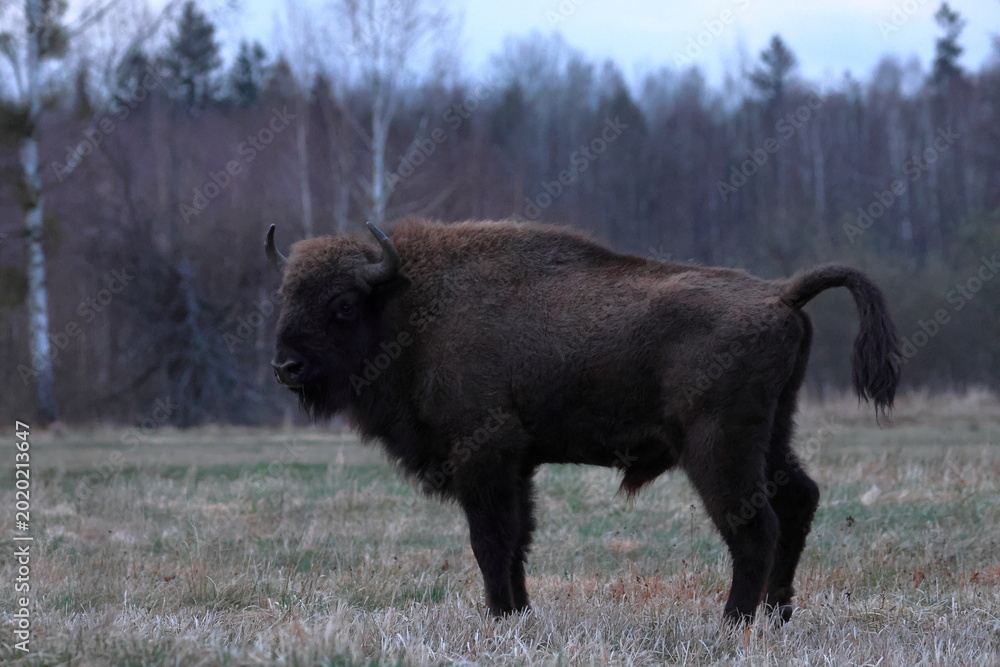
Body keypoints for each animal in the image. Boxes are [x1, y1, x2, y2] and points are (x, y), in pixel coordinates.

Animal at [265, 218, 900, 623]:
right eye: (285, 296)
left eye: (343, 304)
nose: (286, 367)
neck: (412, 308)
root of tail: (781, 294)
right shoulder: (517, 466)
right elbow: (517, 539)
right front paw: (518, 615)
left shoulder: (484, 457)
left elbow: (490, 540)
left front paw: (499, 616)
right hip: (773, 434)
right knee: (799, 501)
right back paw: (777, 614)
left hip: (718, 448)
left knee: (753, 525)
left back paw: (732, 623)